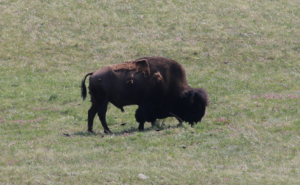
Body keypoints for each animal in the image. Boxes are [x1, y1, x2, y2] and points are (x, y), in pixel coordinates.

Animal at [81, 56, 210, 133]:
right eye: (195, 107)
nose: (197, 120)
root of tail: (93, 74)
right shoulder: (147, 104)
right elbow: (142, 116)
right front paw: (141, 128)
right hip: (103, 101)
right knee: (101, 114)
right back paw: (108, 131)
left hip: (96, 101)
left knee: (91, 112)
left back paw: (91, 130)